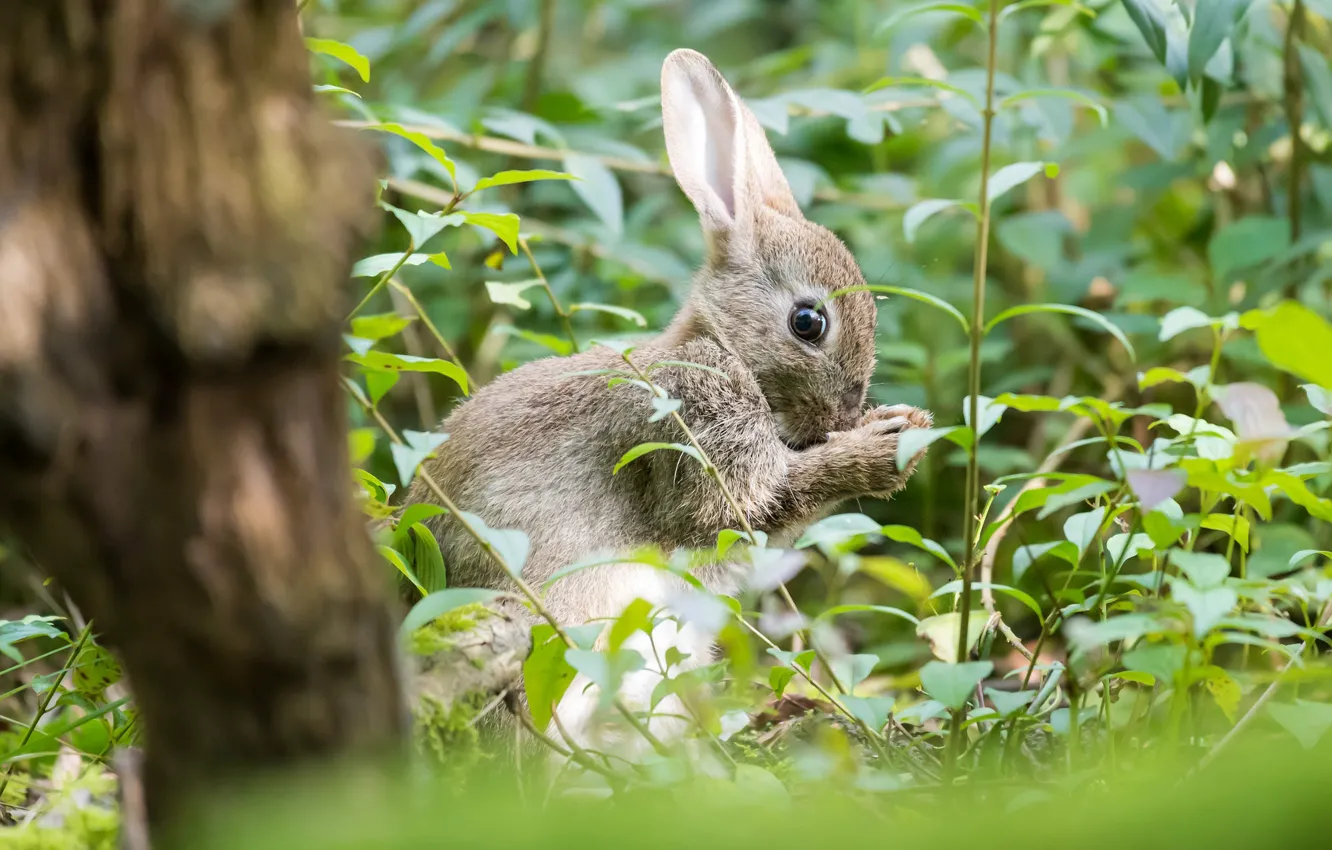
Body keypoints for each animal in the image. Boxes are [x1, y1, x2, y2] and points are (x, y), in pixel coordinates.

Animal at [404, 48, 933, 758]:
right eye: (808, 322)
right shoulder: (693, 440)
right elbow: (757, 504)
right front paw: (886, 445)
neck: (719, 347)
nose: (846, 416)